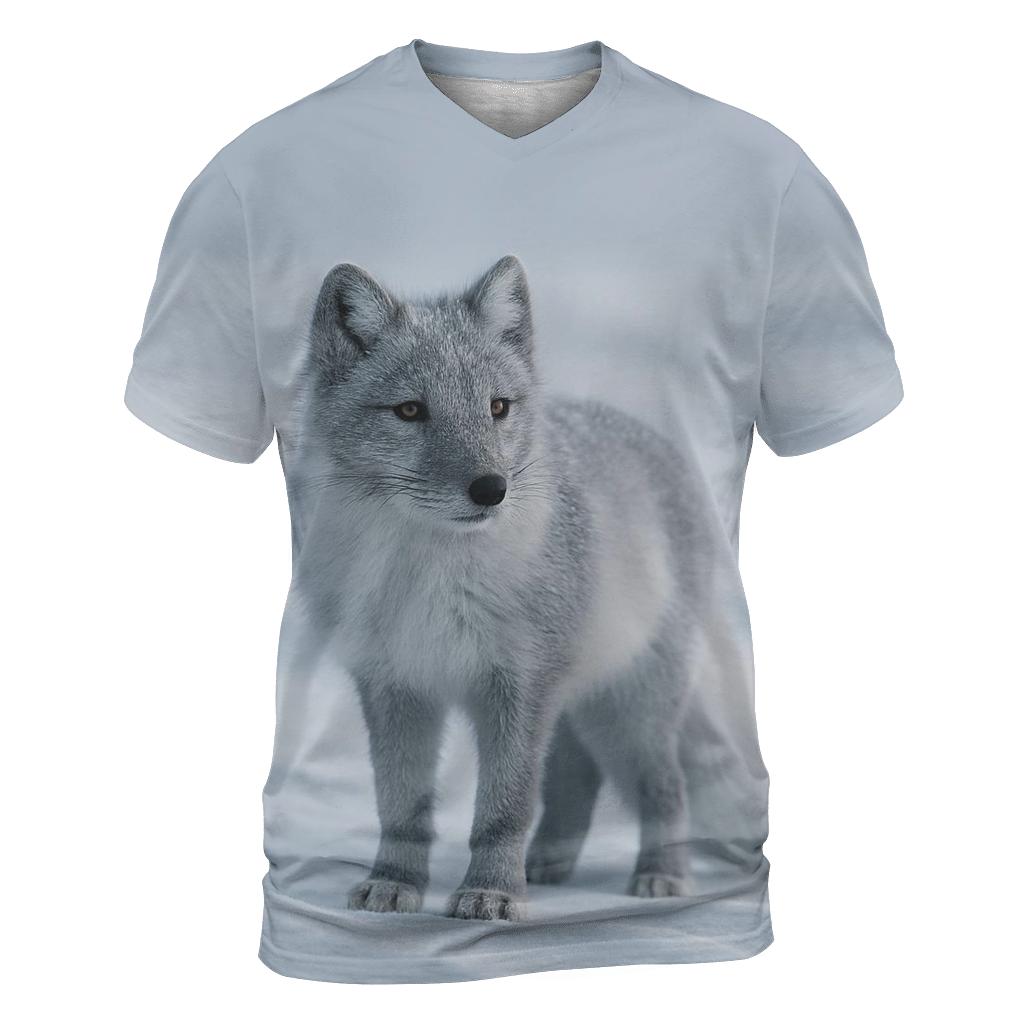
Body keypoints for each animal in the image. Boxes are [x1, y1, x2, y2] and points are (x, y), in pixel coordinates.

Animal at [291, 254, 710, 922]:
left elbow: (503, 808)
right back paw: (549, 865)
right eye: (410, 411)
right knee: (573, 776)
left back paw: (661, 877)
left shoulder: (519, 685)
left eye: (497, 407)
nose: (491, 489)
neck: (433, 580)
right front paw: (394, 883)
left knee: (666, 786)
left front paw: (491, 892)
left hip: (630, 710)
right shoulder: (393, 684)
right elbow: (399, 806)